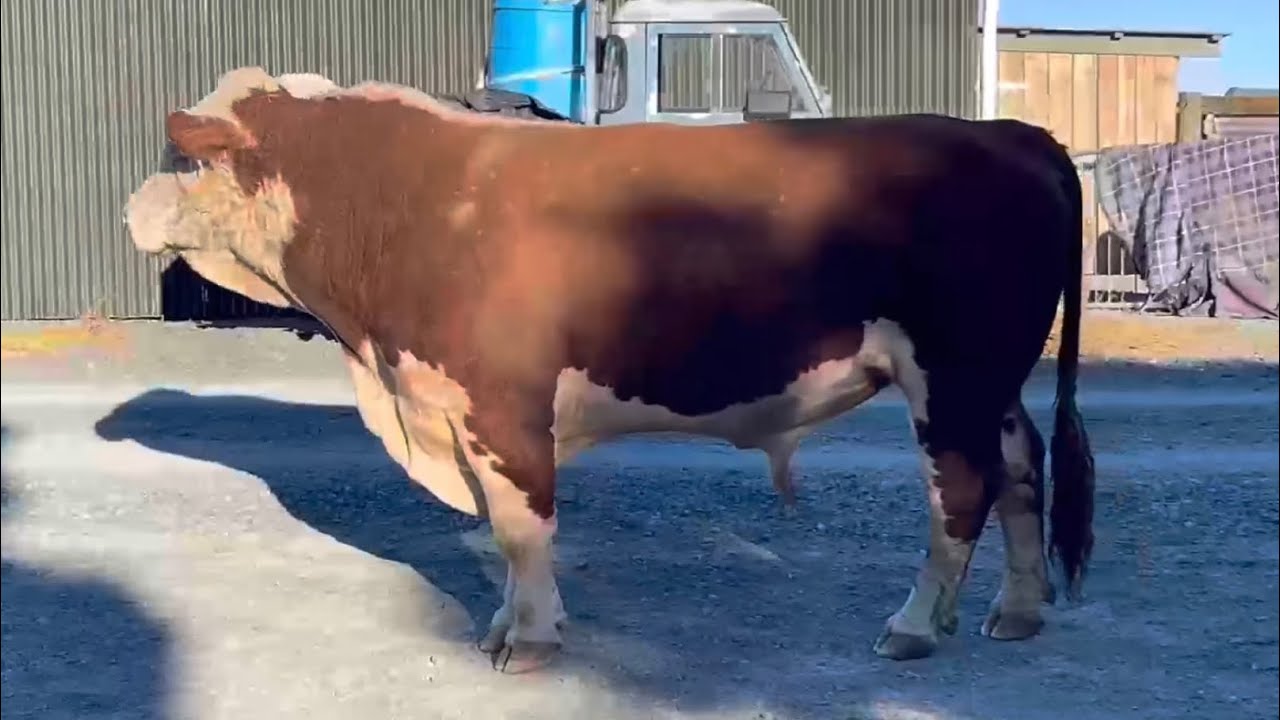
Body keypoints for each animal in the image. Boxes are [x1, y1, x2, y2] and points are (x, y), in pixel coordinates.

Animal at [124, 67, 1096, 674]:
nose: (129, 208)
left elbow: (521, 525)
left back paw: (914, 627)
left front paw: (529, 637)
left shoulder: (502, 407)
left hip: (953, 373)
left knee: (961, 491)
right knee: (1021, 469)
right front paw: (509, 623)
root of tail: (1010, 133)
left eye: (182, 158)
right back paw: (1019, 610)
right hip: (994, 380)